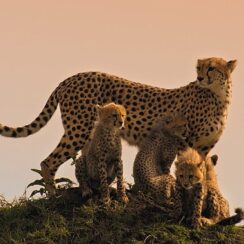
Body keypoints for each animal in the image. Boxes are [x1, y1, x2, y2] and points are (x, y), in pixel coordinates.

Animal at [0, 57, 236, 193]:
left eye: (211, 68)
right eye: (199, 67)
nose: (199, 78)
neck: (219, 96)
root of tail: (69, 79)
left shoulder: (203, 148)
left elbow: (202, 172)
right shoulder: (185, 142)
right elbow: (181, 169)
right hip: (78, 130)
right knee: (48, 162)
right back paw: (53, 197)